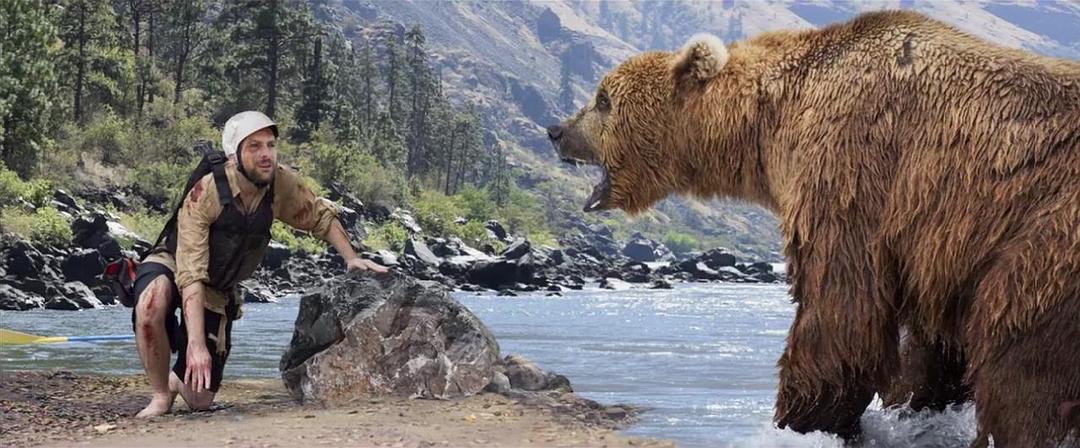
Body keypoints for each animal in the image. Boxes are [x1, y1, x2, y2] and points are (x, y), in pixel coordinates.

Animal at [547, 10, 1080, 447]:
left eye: (603, 99)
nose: (556, 131)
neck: (769, 123)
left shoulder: (849, 170)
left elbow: (839, 308)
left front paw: (802, 421)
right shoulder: (936, 244)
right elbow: (928, 344)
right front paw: (909, 407)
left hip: (1049, 241)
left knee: (1019, 356)